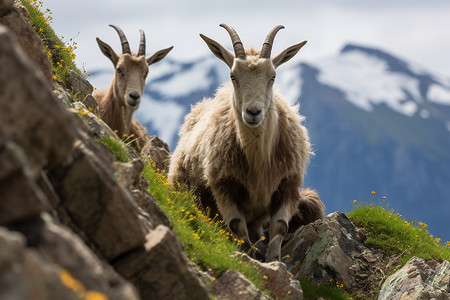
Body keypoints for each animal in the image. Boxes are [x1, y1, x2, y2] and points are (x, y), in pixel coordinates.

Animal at [168, 24, 324, 262]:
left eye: (273, 76)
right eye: (233, 76)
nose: (253, 112)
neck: (258, 162)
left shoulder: (288, 183)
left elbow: (280, 225)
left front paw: (273, 260)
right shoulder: (222, 184)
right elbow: (236, 225)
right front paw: (249, 257)